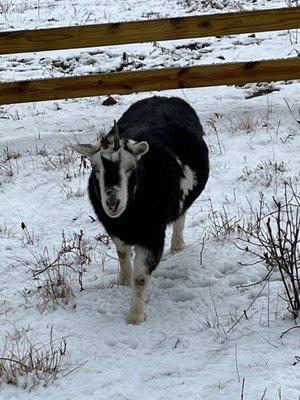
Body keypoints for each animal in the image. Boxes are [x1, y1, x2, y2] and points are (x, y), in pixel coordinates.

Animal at [72, 96, 209, 324]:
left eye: (132, 167)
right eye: (94, 168)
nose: (112, 202)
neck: (128, 217)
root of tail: (163, 97)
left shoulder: (152, 234)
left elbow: (141, 277)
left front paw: (135, 316)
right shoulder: (114, 228)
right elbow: (121, 253)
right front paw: (122, 281)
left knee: (180, 216)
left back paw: (177, 245)